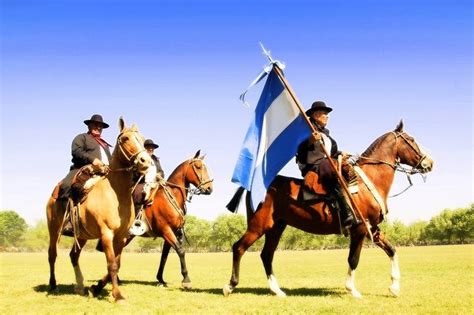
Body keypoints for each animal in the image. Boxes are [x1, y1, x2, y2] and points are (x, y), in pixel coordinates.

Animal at [45, 117, 151, 302]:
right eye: (125, 138)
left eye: (143, 139)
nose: (145, 161)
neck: (116, 194)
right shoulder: (106, 234)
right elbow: (112, 264)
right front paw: (117, 295)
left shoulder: (121, 237)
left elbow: (117, 263)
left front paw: (96, 287)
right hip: (54, 230)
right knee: (53, 255)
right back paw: (53, 285)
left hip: (81, 236)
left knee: (73, 255)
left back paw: (80, 287)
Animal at [222, 120, 434, 298]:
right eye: (411, 140)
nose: (430, 162)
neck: (368, 183)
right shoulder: (360, 229)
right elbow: (353, 259)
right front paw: (352, 290)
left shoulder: (373, 229)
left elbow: (392, 250)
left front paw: (394, 287)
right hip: (258, 226)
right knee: (239, 247)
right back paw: (230, 286)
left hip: (276, 227)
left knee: (267, 255)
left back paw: (277, 290)